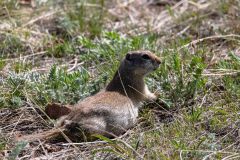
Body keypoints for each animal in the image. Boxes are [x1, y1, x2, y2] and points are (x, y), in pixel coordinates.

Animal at [17, 50, 161, 142]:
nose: (160, 60)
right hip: (96, 127)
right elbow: (148, 95)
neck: (124, 76)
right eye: (145, 56)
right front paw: (158, 94)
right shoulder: (140, 86)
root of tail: (69, 120)